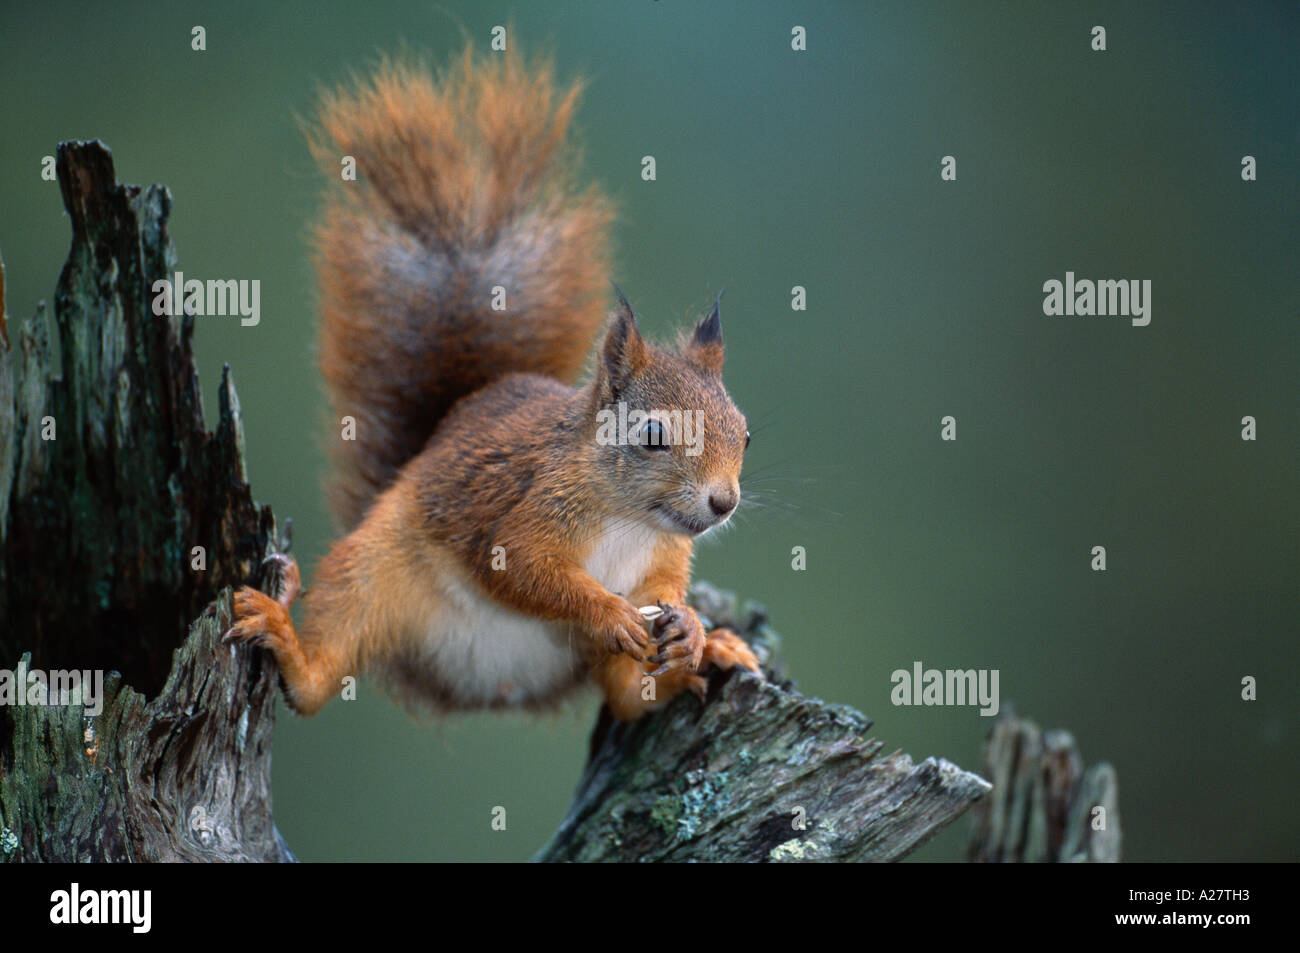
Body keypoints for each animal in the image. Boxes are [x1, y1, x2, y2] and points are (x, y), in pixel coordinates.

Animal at [224, 46, 759, 722]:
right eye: (654, 435)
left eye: (746, 435)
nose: (724, 503)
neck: (632, 519)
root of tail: (492, 689)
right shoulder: (523, 514)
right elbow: (524, 569)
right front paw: (608, 609)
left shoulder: (665, 556)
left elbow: (665, 589)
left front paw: (688, 624)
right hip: (373, 569)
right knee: (317, 679)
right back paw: (286, 635)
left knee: (630, 699)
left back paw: (712, 652)